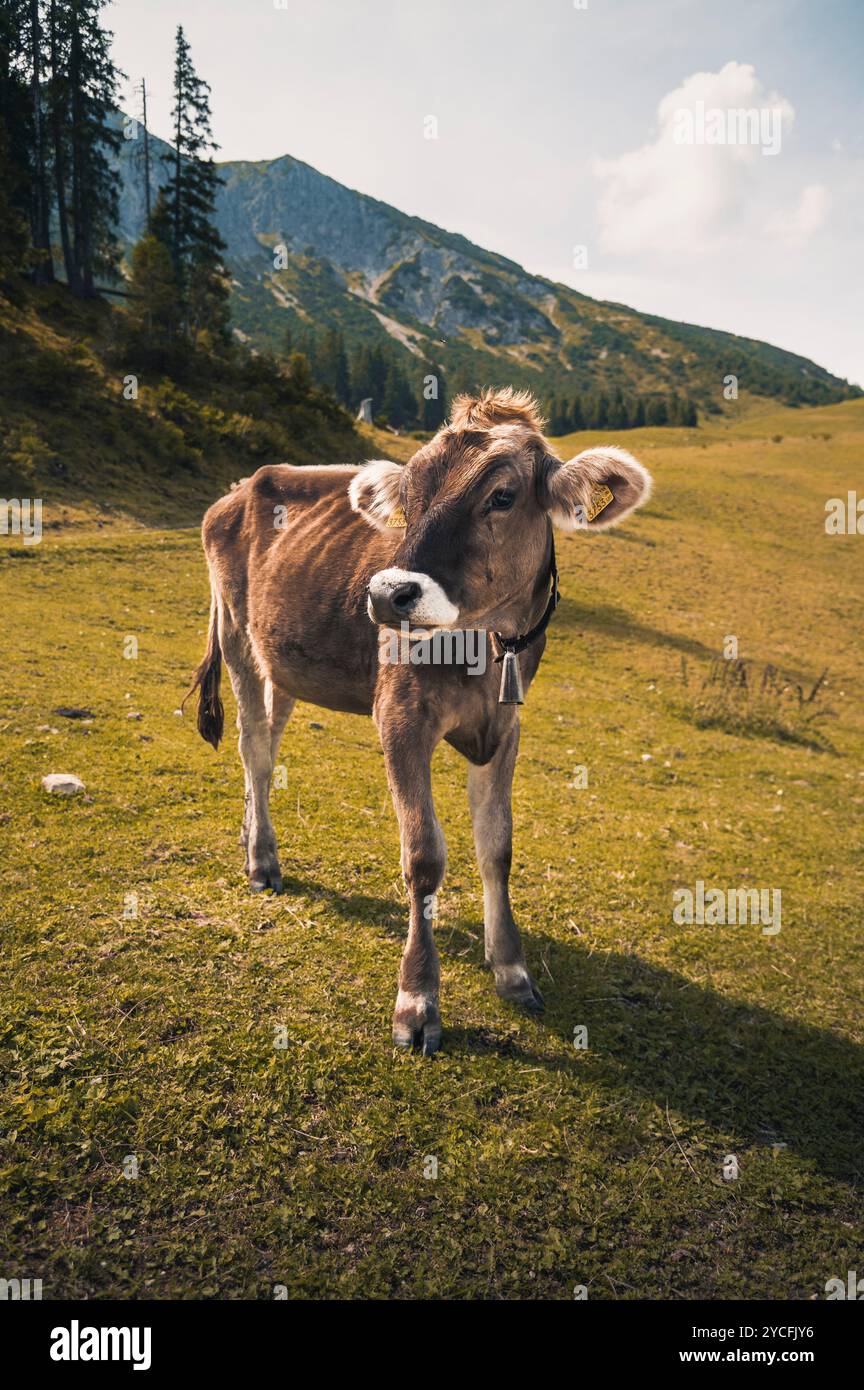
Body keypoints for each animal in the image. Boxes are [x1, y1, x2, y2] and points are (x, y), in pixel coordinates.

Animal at [187, 386, 650, 1045]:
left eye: (503, 495)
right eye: (407, 498)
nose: (387, 594)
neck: (485, 648)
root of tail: (241, 485)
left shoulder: (506, 728)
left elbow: (497, 848)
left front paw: (511, 970)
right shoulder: (400, 717)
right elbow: (425, 856)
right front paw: (417, 1000)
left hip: (285, 662)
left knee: (266, 748)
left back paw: (253, 838)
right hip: (235, 634)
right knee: (253, 750)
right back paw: (262, 861)